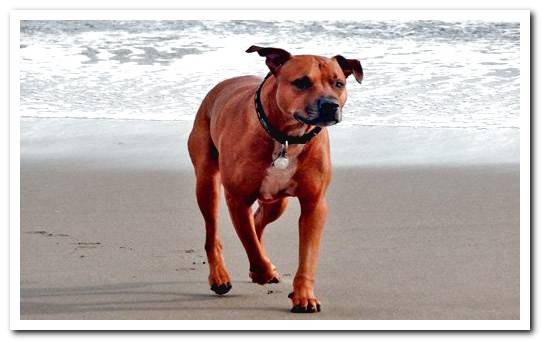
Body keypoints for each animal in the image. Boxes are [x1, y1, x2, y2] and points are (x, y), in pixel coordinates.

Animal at [187, 45, 362, 314]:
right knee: (213, 235)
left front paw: (304, 295)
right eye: (302, 82)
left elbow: (307, 255)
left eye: (338, 83)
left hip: (278, 202)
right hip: (207, 183)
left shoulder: (314, 204)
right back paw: (220, 277)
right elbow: (249, 241)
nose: (330, 105)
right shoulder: (237, 198)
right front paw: (262, 272)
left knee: (258, 221)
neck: (287, 137)